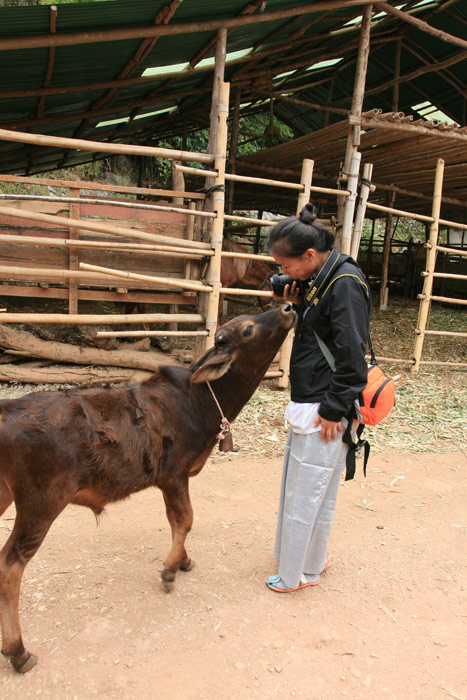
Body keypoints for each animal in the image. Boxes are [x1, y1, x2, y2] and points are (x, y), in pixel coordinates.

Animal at [0, 304, 294, 672]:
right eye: (249, 329)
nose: (288, 307)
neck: (199, 400)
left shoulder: (170, 480)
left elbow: (175, 521)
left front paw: (182, 560)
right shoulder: (174, 474)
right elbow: (186, 519)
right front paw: (169, 571)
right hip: (41, 501)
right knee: (10, 566)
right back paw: (18, 651)